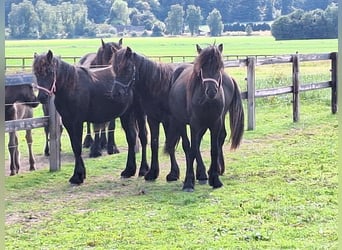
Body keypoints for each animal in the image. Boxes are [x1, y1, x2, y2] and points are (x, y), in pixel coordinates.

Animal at [33, 50, 147, 184]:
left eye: (50, 71)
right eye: (36, 73)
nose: (42, 97)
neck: (71, 86)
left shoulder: (77, 122)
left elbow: (77, 147)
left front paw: (78, 176)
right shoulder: (68, 122)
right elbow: (75, 146)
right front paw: (79, 175)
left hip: (139, 113)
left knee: (143, 137)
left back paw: (144, 170)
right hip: (127, 114)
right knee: (131, 138)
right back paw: (129, 170)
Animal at [166, 43, 244, 191]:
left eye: (219, 66)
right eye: (202, 67)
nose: (212, 91)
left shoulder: (215, 123)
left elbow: (213, 149)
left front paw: (216, 179)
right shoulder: (194, 124)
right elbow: (191, 149)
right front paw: (188, 182)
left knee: (200, 144)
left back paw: (204, 173)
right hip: (181, 122)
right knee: (188, 146)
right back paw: (199, 174)